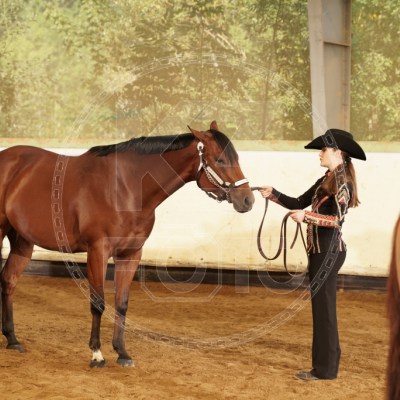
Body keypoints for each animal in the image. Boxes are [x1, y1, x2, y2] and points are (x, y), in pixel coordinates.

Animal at [0, 120, 255, 367]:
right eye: (220, 159)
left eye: (236, 158)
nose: (247, 199)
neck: (126, 188)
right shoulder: (98, 251)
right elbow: (98, 303)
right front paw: (97, 354)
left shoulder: (131, 254)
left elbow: (121, 304)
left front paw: (122, 352)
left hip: (23, 242)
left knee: (9, 280)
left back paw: (12, 339)